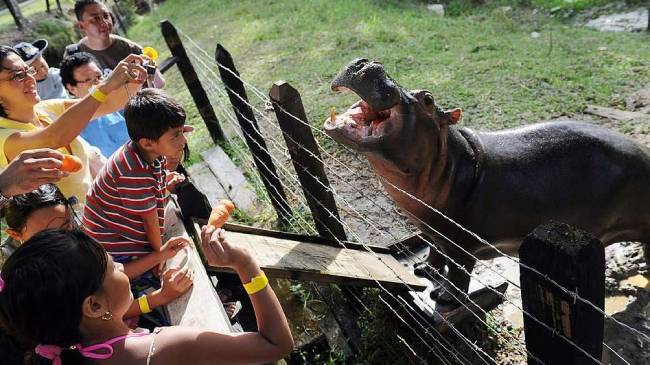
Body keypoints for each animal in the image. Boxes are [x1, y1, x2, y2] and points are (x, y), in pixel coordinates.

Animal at [322, 57, 648, 310]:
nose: (368, 63)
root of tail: (645, 154)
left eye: (428, 99)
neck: (450, 164)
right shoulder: (430, 230)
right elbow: (434, 251)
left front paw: (444, 297)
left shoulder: (461, 242)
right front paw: (423, 269)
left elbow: (458, 273)